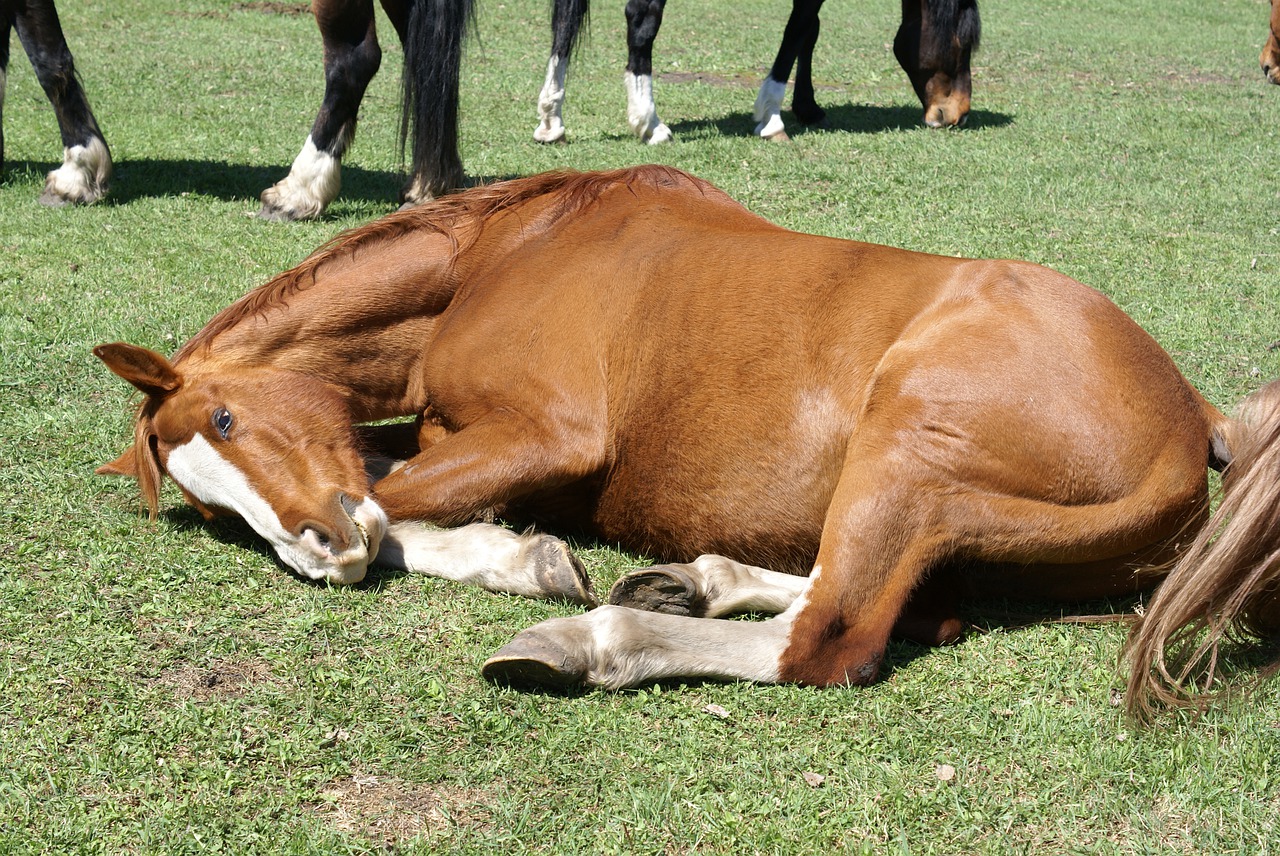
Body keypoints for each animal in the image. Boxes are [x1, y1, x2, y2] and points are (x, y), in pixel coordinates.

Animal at [97, 163, 1280, 716]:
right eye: (206, 500)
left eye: (228, 417)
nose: (316, 554)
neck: (507, 250)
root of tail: (1193, 417)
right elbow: (391, 486)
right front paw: (522, 555)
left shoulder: (549, 436)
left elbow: (395, 507)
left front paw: (524, 565)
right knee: (873, 600)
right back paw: (689, 582)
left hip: (905, 444)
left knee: (829, 639)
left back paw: (595, 640)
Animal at [529, 0, 977, 145]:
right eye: (965, 41)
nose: (956, 114)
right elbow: (799, 28)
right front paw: (772, 116)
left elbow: (808, 31)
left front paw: (808, 106)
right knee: (641, 20)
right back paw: (649, 122)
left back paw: (552, 119)